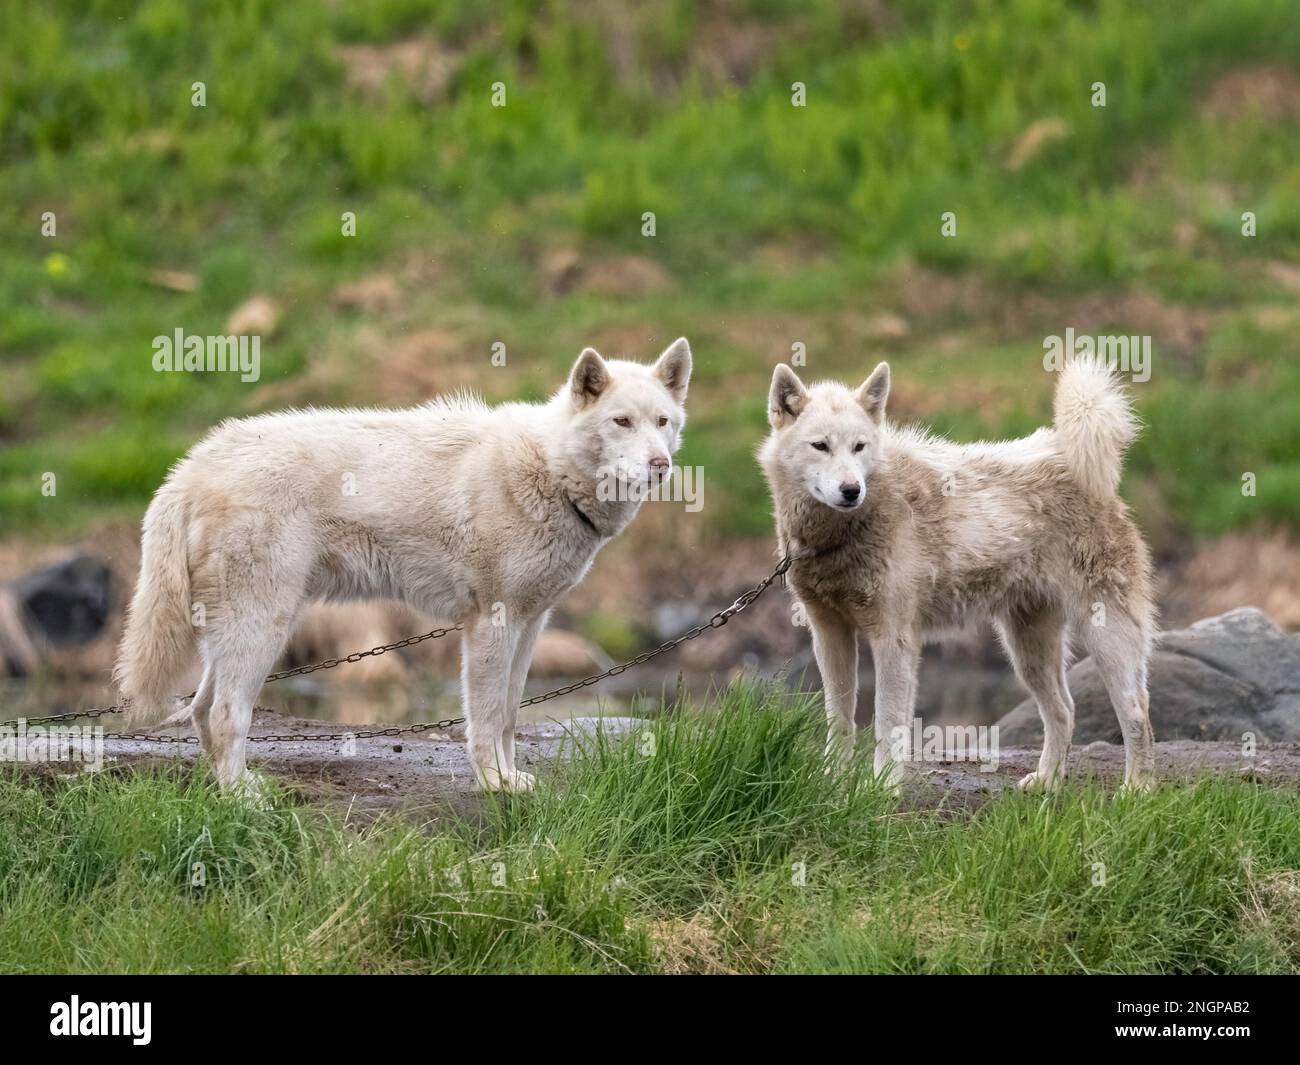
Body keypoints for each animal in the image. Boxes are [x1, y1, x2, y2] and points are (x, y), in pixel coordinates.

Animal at [116, 340, 696, 790]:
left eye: (662, 422)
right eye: (621, 421)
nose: (661, 465)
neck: (550, 471)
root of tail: (193, 465)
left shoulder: (531, 624)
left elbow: (511, 714)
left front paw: (514, 780)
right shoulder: (491, 624)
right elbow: (486, 718)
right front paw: (495, 785)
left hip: (240, 629)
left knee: (199, 710)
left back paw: (226, 787)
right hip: (264, 626)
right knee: (224, 713)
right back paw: (244, 798)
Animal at [759, 358, 1159, 790]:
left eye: (859, 447)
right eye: (820, 446)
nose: (851, 490)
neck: (838, 534)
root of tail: (1068, 457)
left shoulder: (894, 640)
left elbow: (887, 723)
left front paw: (882, 789)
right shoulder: (829, 634)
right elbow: (840, 718)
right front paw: (833, 780)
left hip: (1105, 637)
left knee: (1137, 711)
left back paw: (1136, 789)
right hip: (1028, 651)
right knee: (1064, 710)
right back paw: (1046, 782)